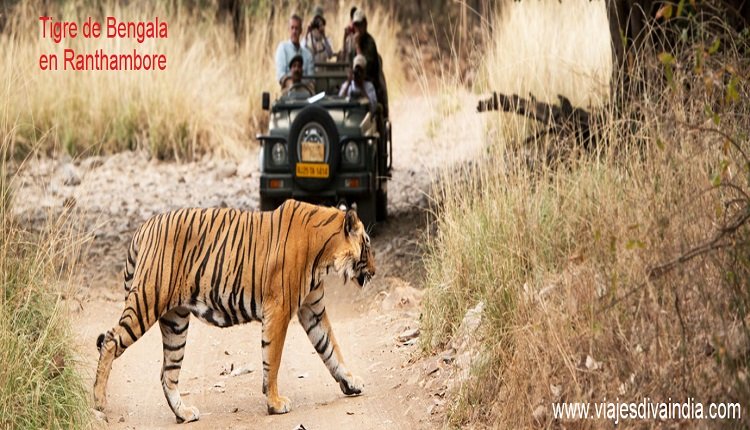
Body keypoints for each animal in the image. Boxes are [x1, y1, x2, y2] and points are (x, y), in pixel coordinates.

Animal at [94, 200, 376, 422]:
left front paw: (351, 382)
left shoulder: (312, 309)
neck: (324, 256)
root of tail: (143, 227)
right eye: (367, 245)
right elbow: (273, 360)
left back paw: (184, 413)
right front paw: (275, 403)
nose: (374, 272)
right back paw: (99, 404)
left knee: (167, 374)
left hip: (176, 322)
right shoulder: (279, 309)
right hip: (147, 300)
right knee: (110, 340)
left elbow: (331, 348)